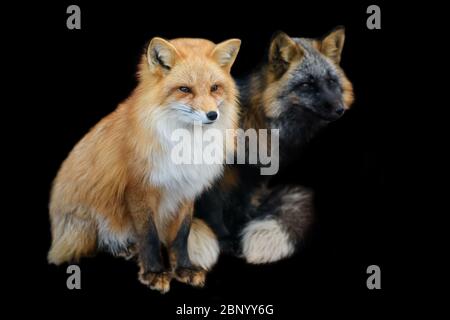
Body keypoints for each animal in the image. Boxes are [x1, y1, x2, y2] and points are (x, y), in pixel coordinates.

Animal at [47, 37, 241, 292]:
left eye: (215, 88)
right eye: (185, 89)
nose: (212, 115)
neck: (185, 144)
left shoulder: (186, 188)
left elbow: (181, 236)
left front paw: (184, 269)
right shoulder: (139, 188)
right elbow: (148, 235)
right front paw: (154, 272)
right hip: (85, 224)